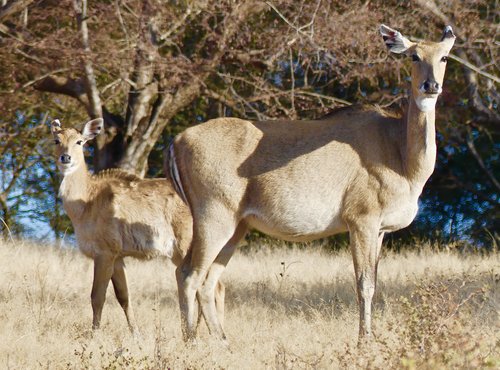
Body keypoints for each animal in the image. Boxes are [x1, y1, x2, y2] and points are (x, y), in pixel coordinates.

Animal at [51, 119, 225, 336]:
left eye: (80, 141)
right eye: (56, 140)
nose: (65, 158)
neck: (86, 202)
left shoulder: (105, 251)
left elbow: (97, 296)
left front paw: (94, 334)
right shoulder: (118, 256)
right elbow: (123, 296)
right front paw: (136, 334)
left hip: (188, 243)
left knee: (213, 285)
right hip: (180, 252)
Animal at [170, 24, 456, 342]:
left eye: (444, 57)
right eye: (414, 56)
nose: (431, 85)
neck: (402, 157)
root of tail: (177, 141)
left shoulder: (381, 229)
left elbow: (374, 279)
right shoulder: (361, 219)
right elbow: (364, 283)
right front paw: (364, 340)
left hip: (237, 226)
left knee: (206, 280)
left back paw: (222, 342)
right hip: (214, 216)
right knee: (190, 275)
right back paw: (192, 341)